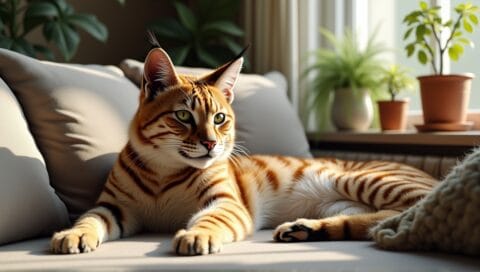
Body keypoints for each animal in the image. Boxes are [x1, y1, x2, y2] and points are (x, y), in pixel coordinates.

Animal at [49, 45, 438, 256]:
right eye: (183, 116)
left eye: (219, 118)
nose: (210, 143)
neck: (164, 170)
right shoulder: (114, 206)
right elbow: (89, 218)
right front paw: (72, 234)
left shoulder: (226, 203)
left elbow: (209, 219)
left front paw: (197, 235)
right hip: (346, 202)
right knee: (382, 219)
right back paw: (304, 230)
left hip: (364, 180)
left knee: (411, 210)